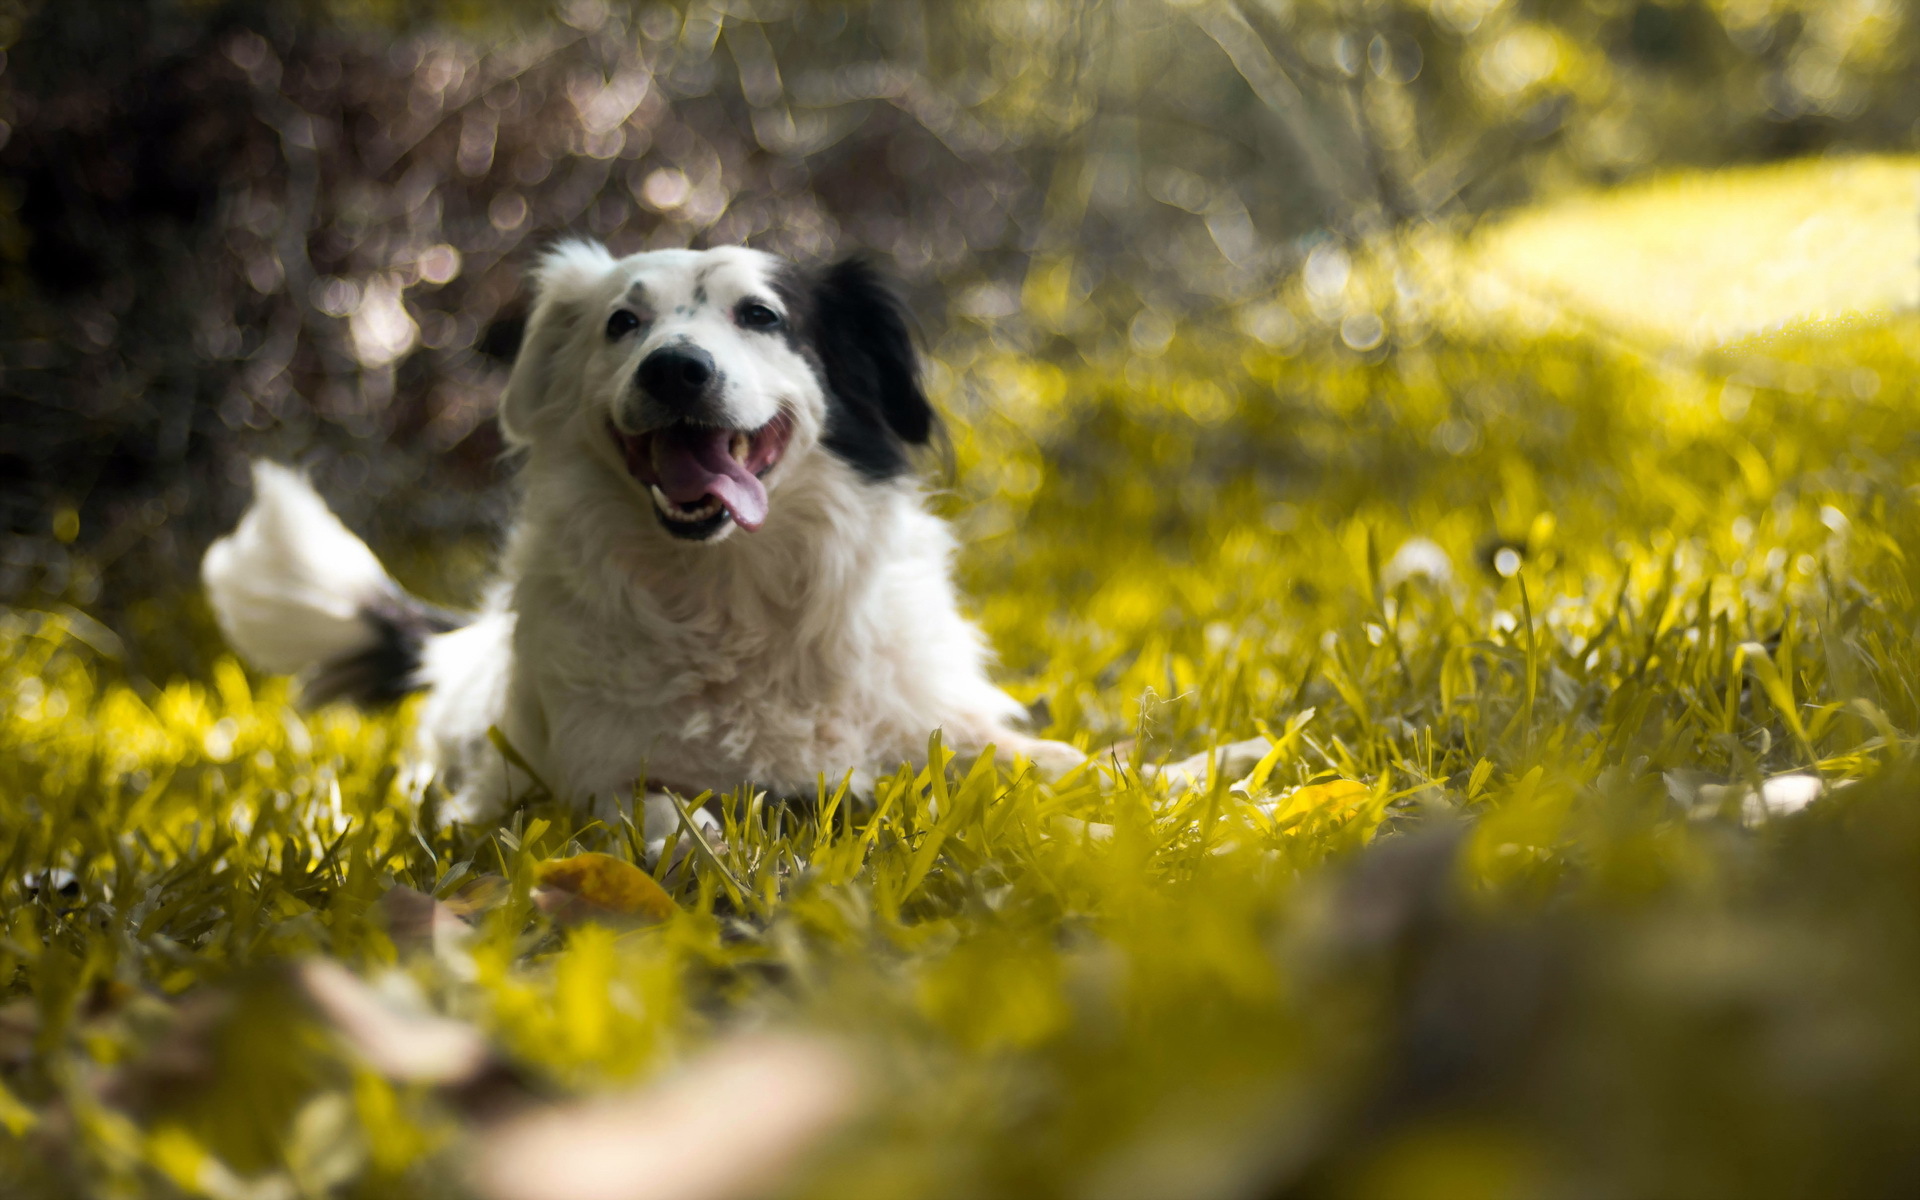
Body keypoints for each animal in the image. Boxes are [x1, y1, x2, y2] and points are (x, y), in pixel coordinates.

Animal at [206, 239, 1098, 848]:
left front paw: (1123, 801)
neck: (730, 594)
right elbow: (680, 826)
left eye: (761, 315)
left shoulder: (924, 726)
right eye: (622, 323)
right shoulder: (594, 785)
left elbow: (1049, 758)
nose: (673, 370)